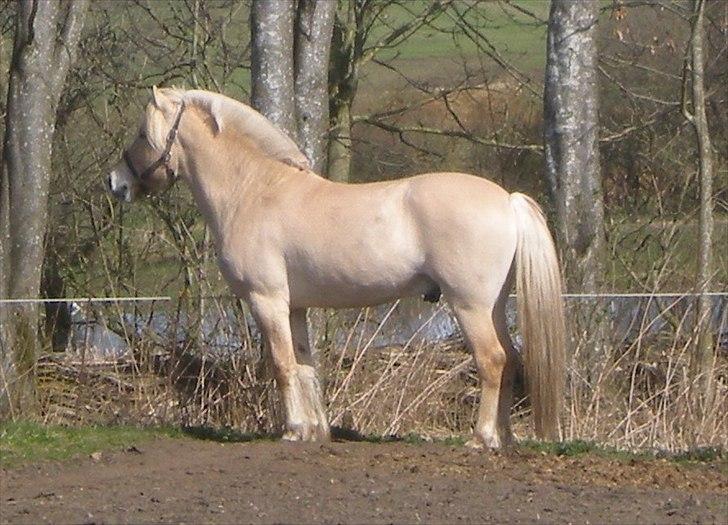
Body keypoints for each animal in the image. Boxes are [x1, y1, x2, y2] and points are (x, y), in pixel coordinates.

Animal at [108, 86, 564, 446]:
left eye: (141, 134)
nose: (115, 183)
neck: (253, 191)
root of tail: (507, 200)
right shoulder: (293, 307)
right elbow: (306, 366)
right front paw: (315, 431)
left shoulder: (266, 301)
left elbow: (282, 365)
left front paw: (292, 430)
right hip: (494, 305)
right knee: (511, 359)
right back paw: (503, 438)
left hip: (470, 306)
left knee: (492, 360)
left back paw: (482, 438)